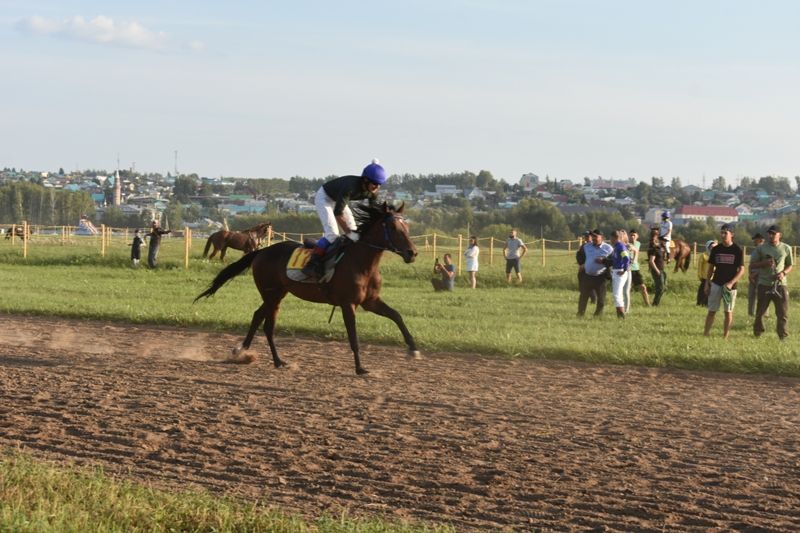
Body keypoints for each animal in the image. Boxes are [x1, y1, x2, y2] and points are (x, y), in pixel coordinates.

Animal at [195, 203, 418, 374]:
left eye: (406, 226)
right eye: (394, 227)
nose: (412, 252)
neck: (361, 262)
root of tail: (261, 251)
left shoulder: (370, 301)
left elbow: (396, 316)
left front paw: (413, 348)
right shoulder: (348, 304)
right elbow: (353, 337)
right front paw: (360, 368)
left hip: (277, 293)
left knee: (258, 316)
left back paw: (244, 351)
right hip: (271, 294)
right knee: (267, 325)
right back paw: (276, 360)